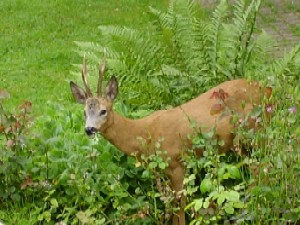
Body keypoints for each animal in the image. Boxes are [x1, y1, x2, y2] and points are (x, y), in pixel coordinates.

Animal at [70, 56, 272, 225]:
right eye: (85, 112)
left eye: (103, 111)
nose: (89, 129)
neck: (145, 133)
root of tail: (268, 89)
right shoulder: (163, 170)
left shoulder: (177, 163)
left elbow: (179, 206)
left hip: (255, 131)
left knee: (263, 167)